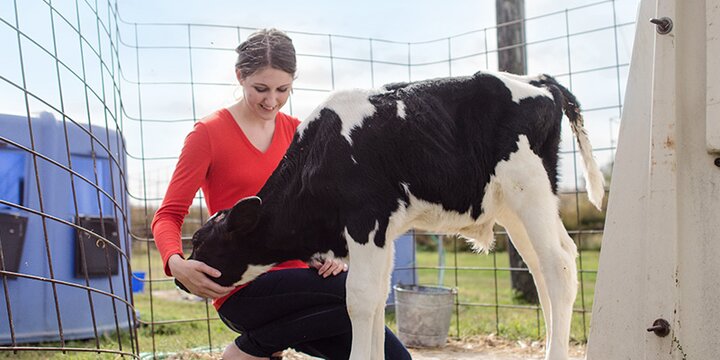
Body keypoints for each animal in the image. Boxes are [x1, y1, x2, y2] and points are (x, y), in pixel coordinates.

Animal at [180, 71, 600, 360]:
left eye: (200, 240)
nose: (183, 278)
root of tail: (537, 81)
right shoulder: (383, 232)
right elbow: (378, 296)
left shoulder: (365, 222)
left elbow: (359, 299)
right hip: (515, 208)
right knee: (545, 267)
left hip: (528, 190)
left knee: (559, 265)